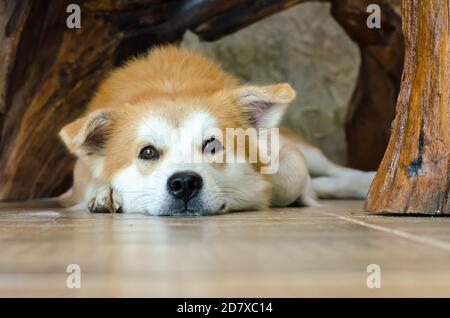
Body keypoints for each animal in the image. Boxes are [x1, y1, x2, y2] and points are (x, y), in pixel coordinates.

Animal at [58, 46, 374, 215]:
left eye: (212, 145)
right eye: (147, 152)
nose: (184, 183)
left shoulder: (282, 150)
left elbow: (288, 177)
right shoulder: (79, 174)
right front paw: (105, 193)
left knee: (336, 171)